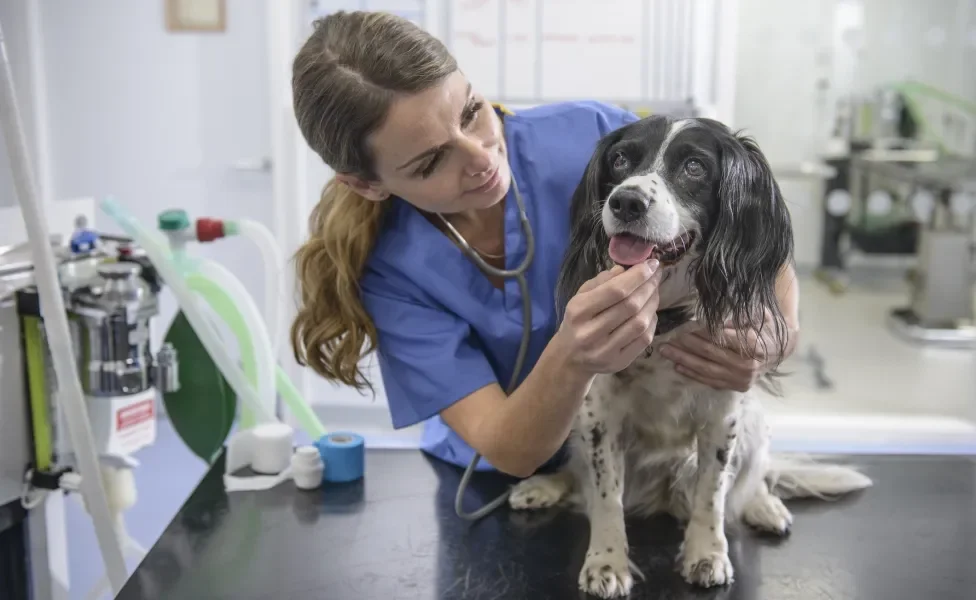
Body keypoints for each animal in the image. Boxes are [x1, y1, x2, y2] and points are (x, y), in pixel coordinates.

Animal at [510, 115, 868, 596]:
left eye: (695, 167)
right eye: (620, 159)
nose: (626, 201)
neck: (665, 318)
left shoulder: (723, 416)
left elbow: (711, 496)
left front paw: (706, 553)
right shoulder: (599, 416)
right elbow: (605, 498)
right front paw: (606, 561)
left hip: (753, 422)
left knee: (754, 479)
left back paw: (764, 506)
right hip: (576, 422)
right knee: (580, 477)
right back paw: (544, 486)